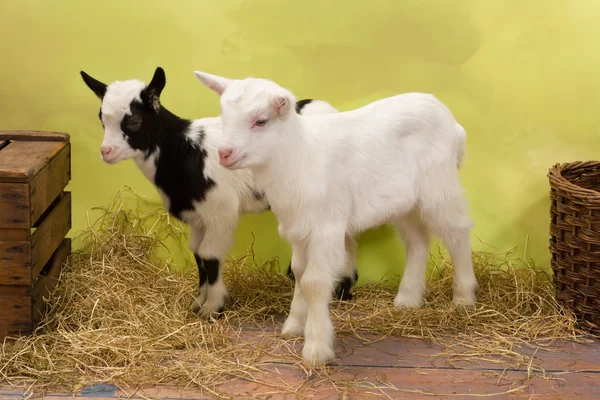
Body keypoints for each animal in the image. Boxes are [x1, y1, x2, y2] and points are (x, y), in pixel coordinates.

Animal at [81, 67, 358, 318]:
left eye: (134, 121)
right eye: (102, 119)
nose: (106, 152)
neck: (187, 150)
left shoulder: (220, 210)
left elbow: (209, 255)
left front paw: (213, 307)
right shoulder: (198, 216)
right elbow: (197, 254)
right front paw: (198, 303)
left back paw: (341, 289)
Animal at [192, 69, 478, 366]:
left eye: (261, 121)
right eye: (224, 117)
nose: (224, 153)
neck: (298, 158)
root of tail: (454, 124)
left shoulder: (326, 226)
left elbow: (314, 282)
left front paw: (316, 347)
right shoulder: (298, 227)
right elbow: (299, 272)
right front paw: (295, 325)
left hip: (439, 185)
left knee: (457, 231)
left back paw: (464, 297)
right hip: (405, 202)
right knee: (417, 241)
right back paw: (408, 299)